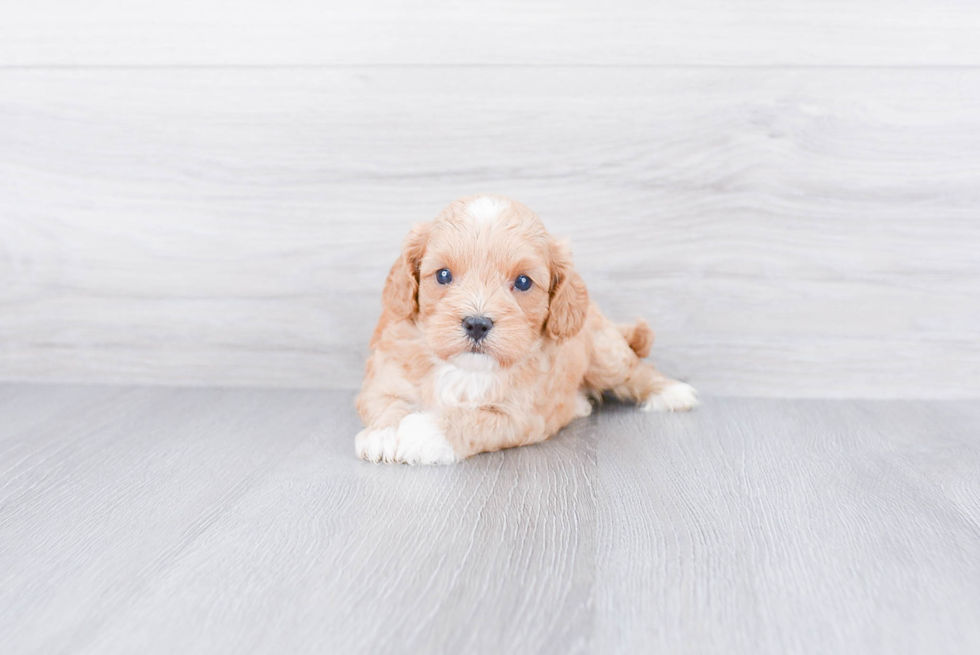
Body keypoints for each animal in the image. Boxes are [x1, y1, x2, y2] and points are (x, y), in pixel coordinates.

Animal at [352, 196, 696, 466]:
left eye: (522, 282)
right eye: (443, 275)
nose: (477, 323)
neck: (467, 370)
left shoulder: (519, 414)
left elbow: (476, 418)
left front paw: (425, 433)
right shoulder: (384, 377)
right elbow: (387, 402)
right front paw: (384, 434)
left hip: (604, 355)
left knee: (635, 369)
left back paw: (671, 391)